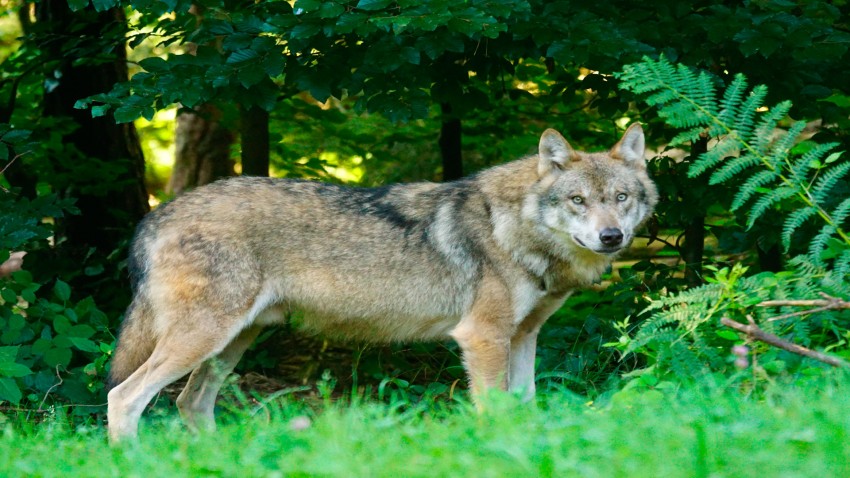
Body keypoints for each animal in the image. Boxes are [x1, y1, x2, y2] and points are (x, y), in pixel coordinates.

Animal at [107, 123, 657, 441]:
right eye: (578, 201)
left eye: (622, 198)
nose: (611, 236)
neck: (514, 228)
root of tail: (156, 215)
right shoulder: (483, 338)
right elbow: (495, 412)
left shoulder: (523, 337)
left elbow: (526, 407)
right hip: (203, 340)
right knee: (124, 398)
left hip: (230, 344)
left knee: (190, 403)